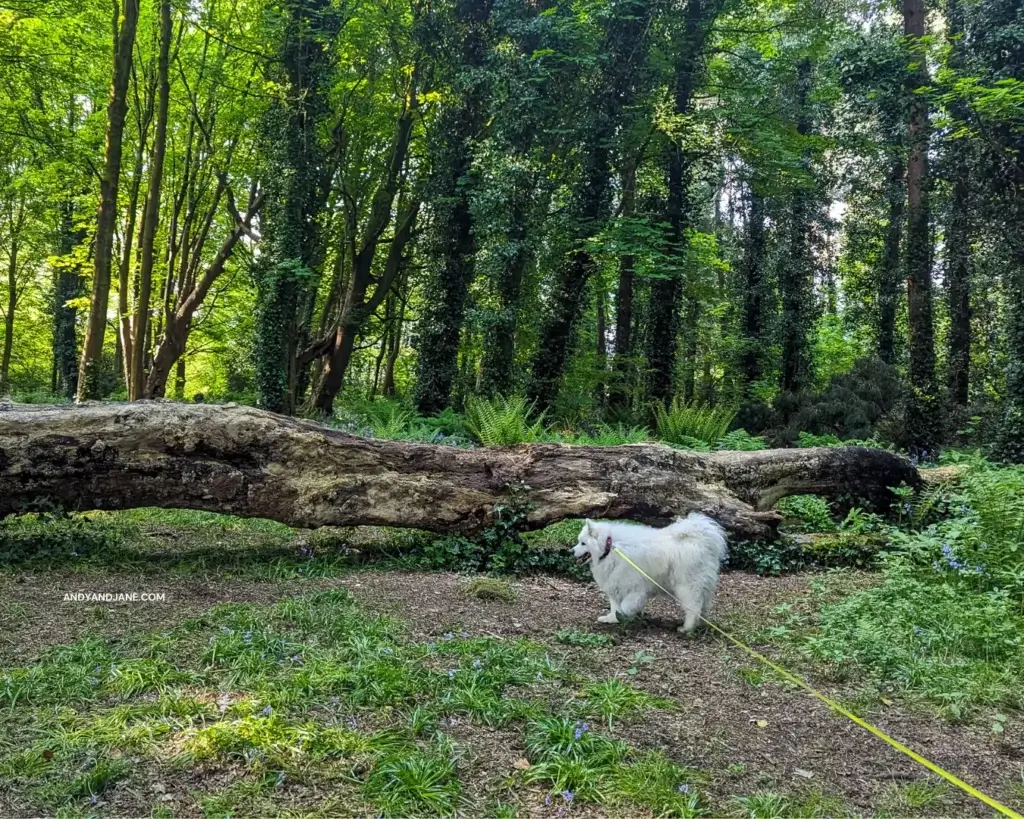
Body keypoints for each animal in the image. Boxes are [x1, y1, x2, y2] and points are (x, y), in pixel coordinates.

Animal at [573, 511, 724, 634]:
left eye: (583, 543)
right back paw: (701, 625)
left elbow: (625, 606)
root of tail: (702, 541)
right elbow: (615, 607)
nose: (571, 551)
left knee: (694, 608)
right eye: (578, 542)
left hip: (687, 586)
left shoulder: (635, 589)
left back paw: (687, 628)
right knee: (703, 607)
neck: (610, 548)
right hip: (702, 587)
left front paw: (626, 616)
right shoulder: (615, 585)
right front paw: (611, 619)